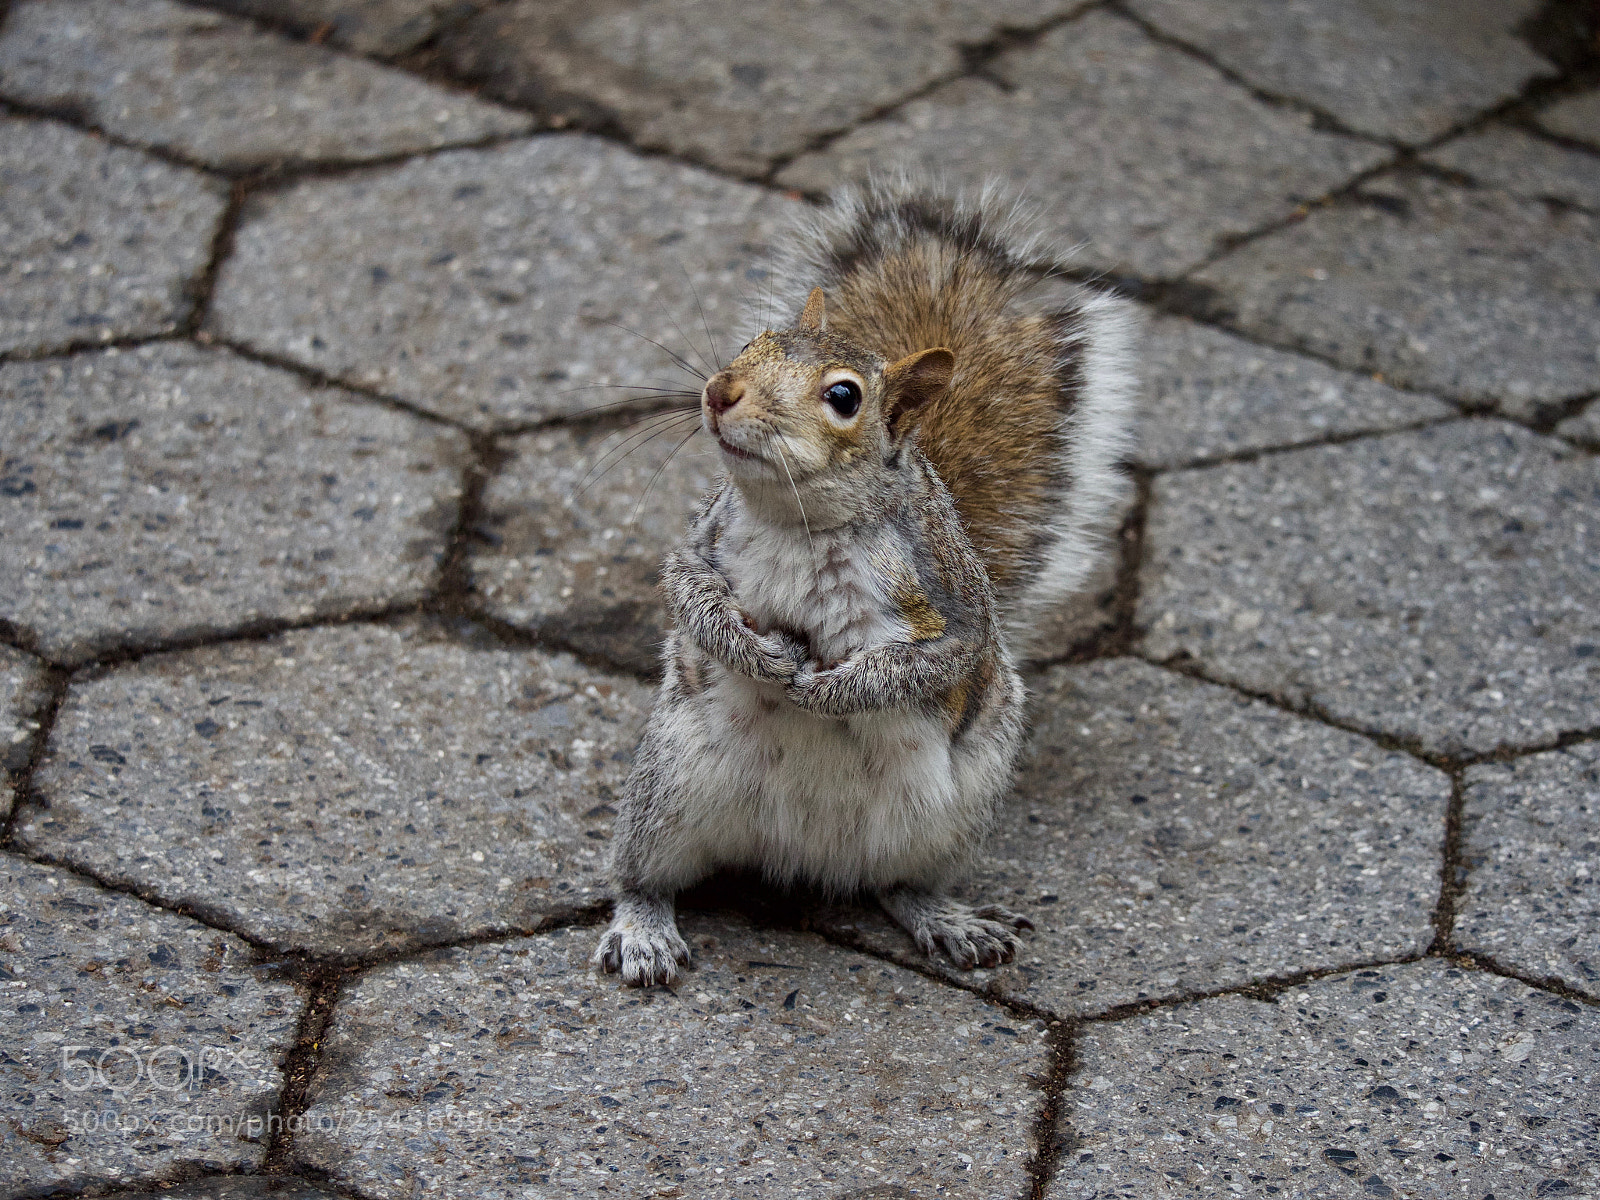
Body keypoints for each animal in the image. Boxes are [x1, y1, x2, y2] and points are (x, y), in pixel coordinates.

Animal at [593, 181, 1138, 986]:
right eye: (755, 342)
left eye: (844, 397)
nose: (720, 390)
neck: (801, 522)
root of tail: (801, 855)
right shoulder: (703, 541)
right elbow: (689, 592)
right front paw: (759, 654)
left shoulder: (950, 593)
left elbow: (936, 658)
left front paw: (836, 689)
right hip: (668, 790)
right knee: (643, 875)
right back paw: (643, 928)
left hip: (953, 817)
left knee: (900, 885)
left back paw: (949, 919)